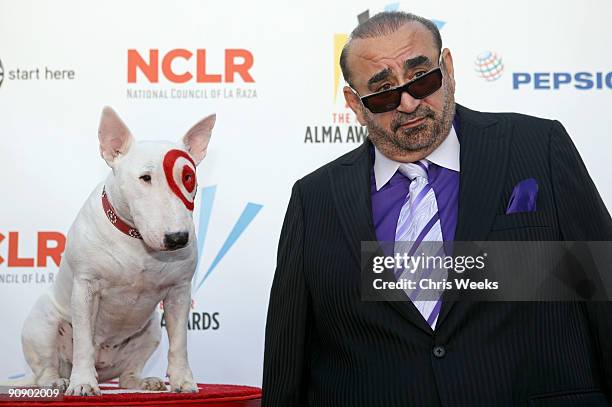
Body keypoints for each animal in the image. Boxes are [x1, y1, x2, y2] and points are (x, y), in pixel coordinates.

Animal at [19, 107, 215, 396]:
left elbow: (180, 342)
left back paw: (144, 382)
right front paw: (83, 383)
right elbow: (84, 342)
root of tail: (103, 370)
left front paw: (183, 381)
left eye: (188, 177)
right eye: (145, 178)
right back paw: (59, 381)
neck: (137, 241)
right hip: (43, 324)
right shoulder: (86, 287)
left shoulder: (179, 291)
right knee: (46, 368)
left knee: (126, 376)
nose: (178, 238)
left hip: (152, 330)